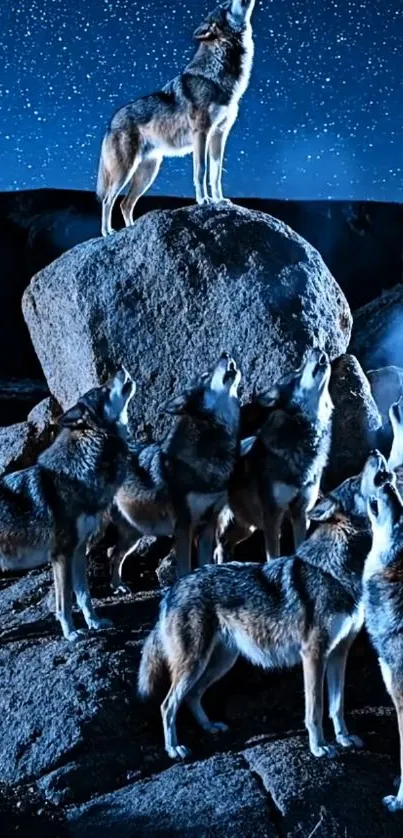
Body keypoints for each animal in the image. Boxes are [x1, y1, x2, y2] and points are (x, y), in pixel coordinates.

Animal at [0, 368, 135, 641]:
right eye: (102, 389)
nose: (121, 368)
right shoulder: (61, 554)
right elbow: (64, 602)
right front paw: (71, 633)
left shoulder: (79, 550)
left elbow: (84, 596)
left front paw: (95, 622)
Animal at [96, 0, 256, 236]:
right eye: (226, 5)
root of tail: (110, 123)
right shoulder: (202, 133)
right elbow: (201, 171)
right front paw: (204, 200)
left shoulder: (219, 135)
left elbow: (216, 173)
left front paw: (219, 200)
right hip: (125, 171)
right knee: (108, 200)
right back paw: (108, 232)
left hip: (148, 172)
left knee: (125, 203)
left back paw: (132, 230)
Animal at [113, 352, 243, 579]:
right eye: (205, 375)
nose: (225, 353)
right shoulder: (184, 526)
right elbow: (184, 567)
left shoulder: (209, 524)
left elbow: (204, 561)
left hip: (135, 532)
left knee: (113, 555)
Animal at [138, 450, 391, 761]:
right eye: (355, 480)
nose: (375, 452)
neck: (336, 570)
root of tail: (172, 590)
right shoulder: (313, 655)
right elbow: (315, 710)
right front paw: (319, 747)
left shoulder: (338, 653)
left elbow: (337, 706)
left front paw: (343, 739)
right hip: (196, 663)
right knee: (168, 704)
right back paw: (174, 748)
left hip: (221, 662)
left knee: (192, 696)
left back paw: (210, 727)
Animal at [214, 347, 333, 563]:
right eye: (297, 373)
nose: (317, 348)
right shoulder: (272, 516)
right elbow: (273, 556)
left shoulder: (301, 513)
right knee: (218, 545)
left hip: (246, 525)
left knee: (228, 544)